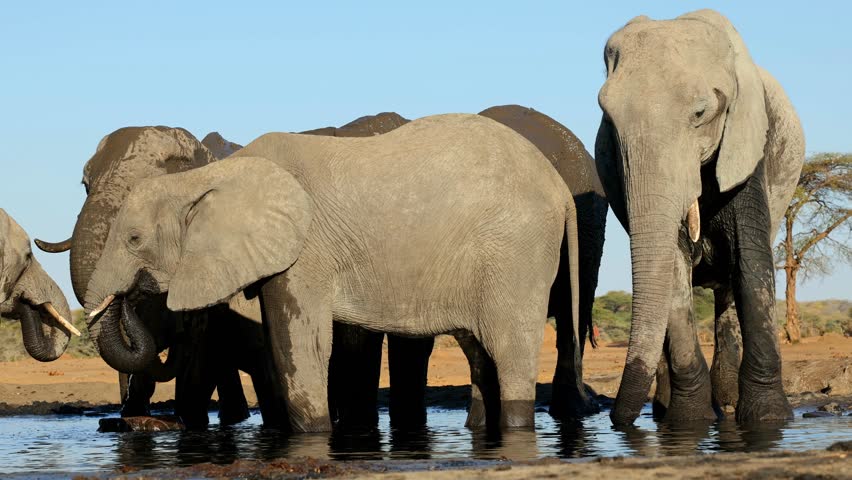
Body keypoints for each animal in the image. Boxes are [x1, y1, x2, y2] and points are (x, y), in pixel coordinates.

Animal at [83, 113, 582, 432]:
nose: (126, 298)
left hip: (516, 250)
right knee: (479, 353)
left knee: (509, 349)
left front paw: (315, 437)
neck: (209, 176)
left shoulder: (307, 250)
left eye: (133, 239)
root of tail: (559, 186)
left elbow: (301, 346)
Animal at [595, 9, 804, 425]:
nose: (617, 421)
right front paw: (690, 420)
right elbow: (673, 272)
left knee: (729, 288)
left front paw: (768, 418)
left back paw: (727, 402)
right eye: (607, 118)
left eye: (701, 113)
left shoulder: (746, 143)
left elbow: (751, 264)